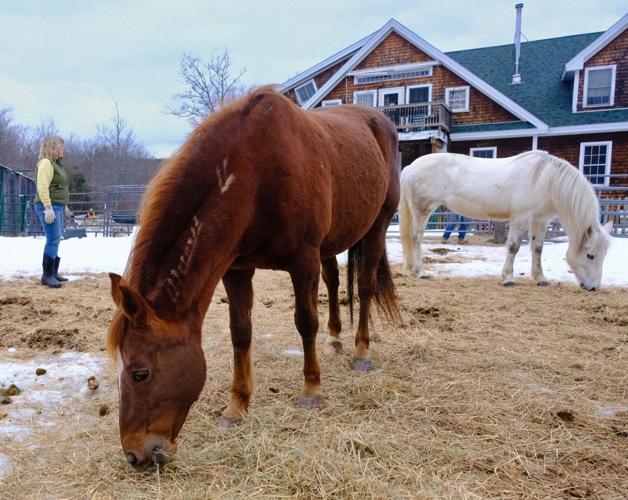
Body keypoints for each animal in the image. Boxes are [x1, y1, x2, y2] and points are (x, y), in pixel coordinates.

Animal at [108, 87, 400, 468]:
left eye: (139, 373)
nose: (134, 454)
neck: (255, 170)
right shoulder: (236, 268)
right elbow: (241, 333)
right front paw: (237, 407)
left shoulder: (303, 260)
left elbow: (306, 322)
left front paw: (312, 392)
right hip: (332, 242)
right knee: (334, 280)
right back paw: (335, 340)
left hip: (377, 225)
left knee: (364, 287)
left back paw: (361, 352)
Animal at [400, 150, 612, 290]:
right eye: (590, 255)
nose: (594, 288)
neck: (545, 179)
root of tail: (410, 167)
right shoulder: (521, 217)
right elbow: (513, 247)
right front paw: (508, 278)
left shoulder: (540, 220)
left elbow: (538, 248)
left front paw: (540, 278)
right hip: (422, 210)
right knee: (416, 238)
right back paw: (421, 272)